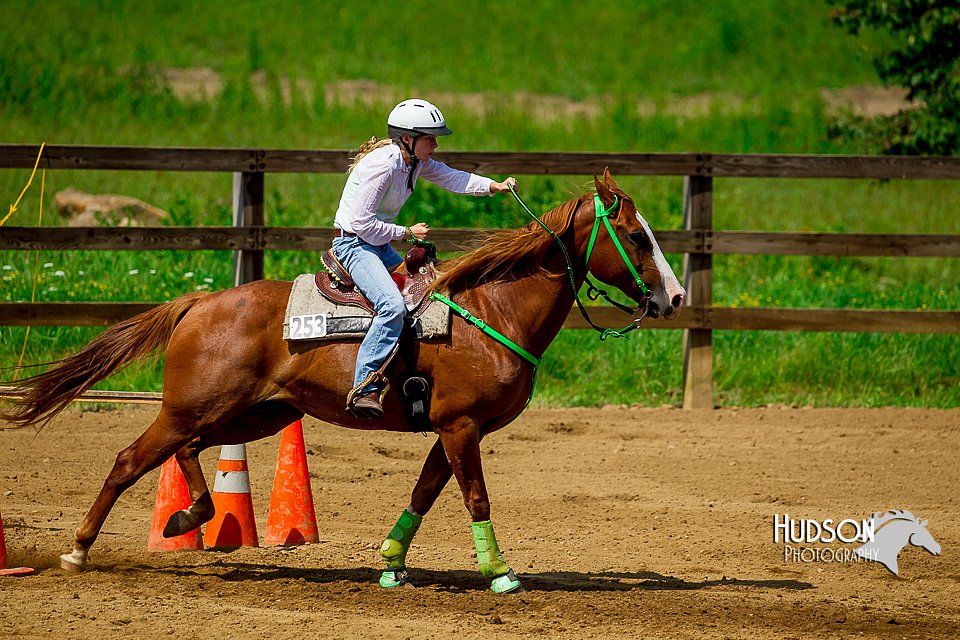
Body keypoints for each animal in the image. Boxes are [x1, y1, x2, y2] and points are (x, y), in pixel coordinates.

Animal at [1, 168, 688, 592]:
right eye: (634, 236)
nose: (675, 297)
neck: (492, 311)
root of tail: (199, 302)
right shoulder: (462, 427)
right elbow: (475, 497)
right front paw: (500, 574)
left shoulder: (448, 430)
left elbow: (424, 493)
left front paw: (390, 565)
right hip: (190, 408)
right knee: (129, 459)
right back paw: (79, 550)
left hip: (256, 412)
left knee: (189, 452)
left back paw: (187, 516)